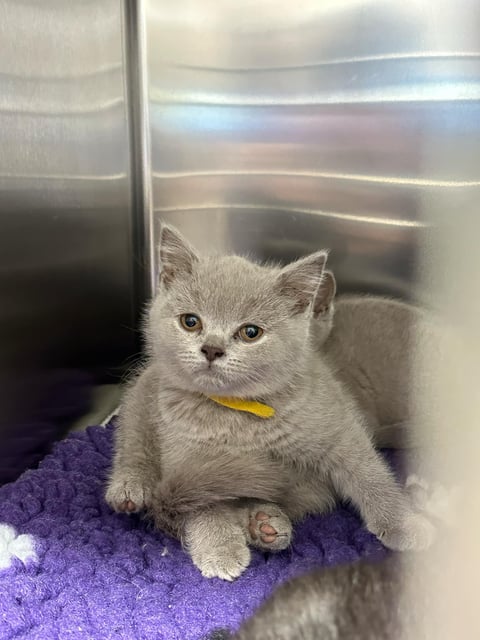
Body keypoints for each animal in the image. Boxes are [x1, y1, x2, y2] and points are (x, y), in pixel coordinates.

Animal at [106, 225, 436, 580]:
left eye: (251, 332)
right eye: (190, 322)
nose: (212, 348)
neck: (236, 414)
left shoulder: (337, 427)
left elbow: (369, 474)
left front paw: (404, 523)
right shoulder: (186, 460)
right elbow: (204, 504)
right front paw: (219, 547)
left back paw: (265, 524)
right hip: (143, 395)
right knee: (133, 438)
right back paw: (131, 487)